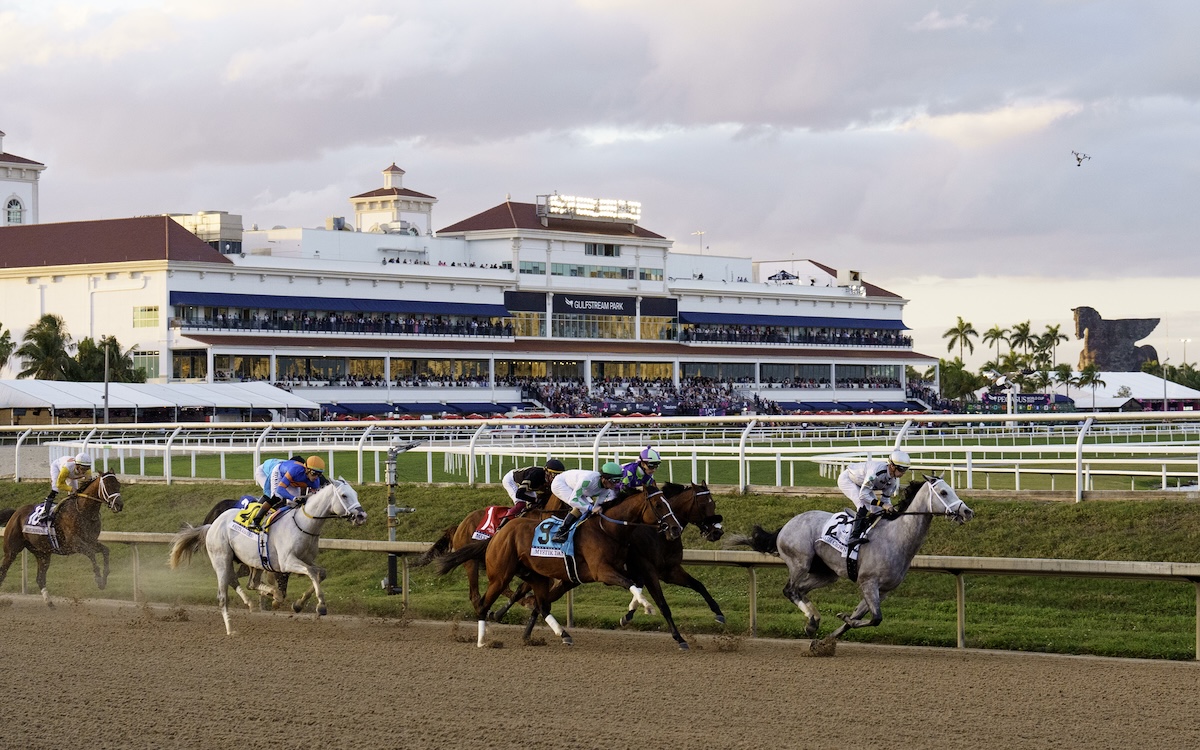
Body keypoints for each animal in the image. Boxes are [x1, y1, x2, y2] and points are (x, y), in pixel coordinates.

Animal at [0, 470, 123, 604]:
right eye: (108, 486)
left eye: (118, 485)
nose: (119, 505)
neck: (84, 511)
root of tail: (16, 512)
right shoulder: (75, 544)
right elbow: (91, 553)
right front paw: (98, 579)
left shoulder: (91, 541)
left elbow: (105, 550)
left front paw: (104, 577)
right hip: (11, 551)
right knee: (3, 572)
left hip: (42, 553)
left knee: (40, 578)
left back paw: (50, 603)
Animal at [434, 489, 686, 648]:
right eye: (657, 504)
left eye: (669, 502)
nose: (675, 528)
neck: (607, 529)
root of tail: (497, 534)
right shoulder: (602, 571)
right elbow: (633, 585)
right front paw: (647, 607)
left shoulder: (616, 570)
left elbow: (637, 584)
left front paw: (631, 613)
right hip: (501, 575)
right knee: (482, 602)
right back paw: (483, 640)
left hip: (535, 575)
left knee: (542, 605)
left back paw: (563, 634)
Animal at [724, 477, 969, 652]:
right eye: (944, 492)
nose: (967, 511)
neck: (895, 537)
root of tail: (785, 526)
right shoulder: (868, 582)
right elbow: (875, 619)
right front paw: (842, 619)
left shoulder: (883, 590)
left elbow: (861, 618)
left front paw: (827, 640)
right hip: (800, 562)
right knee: (790, 590)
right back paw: (811, 619)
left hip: (826, 573)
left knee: (800, 590)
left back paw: (812, 620)